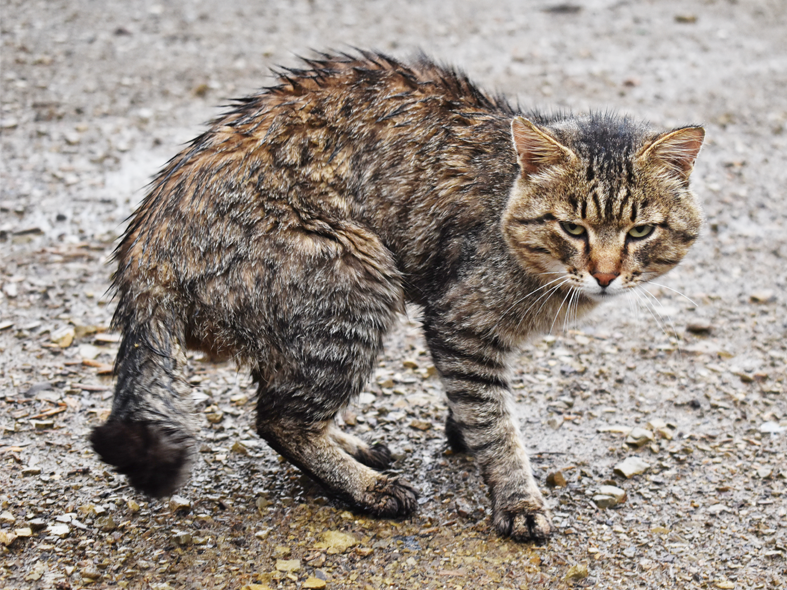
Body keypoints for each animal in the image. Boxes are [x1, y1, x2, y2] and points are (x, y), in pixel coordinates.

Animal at [89, 52, 704, 544]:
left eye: (640, 232)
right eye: (573, 228)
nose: (605, 274)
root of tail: (143, 249)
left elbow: (477, 406)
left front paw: (462, 432)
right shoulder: (461, 321)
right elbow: (498, 427)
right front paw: (517, 498)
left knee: (280, 401)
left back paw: (351, 445)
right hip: (353, 278)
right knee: (277, 419)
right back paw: (367, 487)